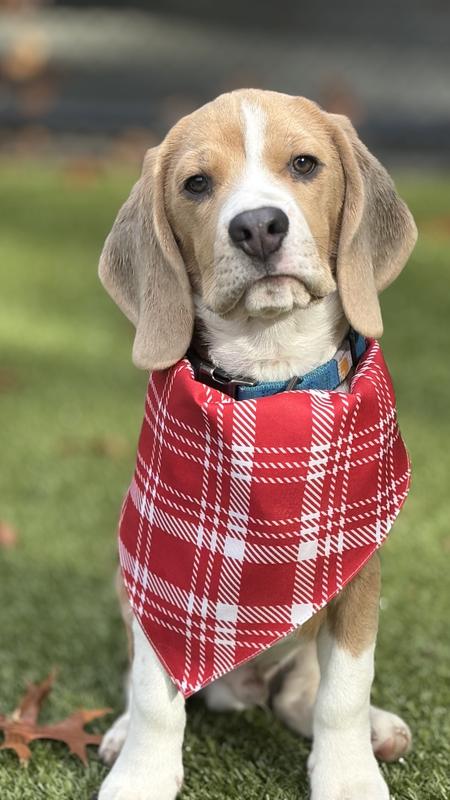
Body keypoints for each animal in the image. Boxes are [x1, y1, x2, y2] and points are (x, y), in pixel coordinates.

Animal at [96, 89, 417, 800]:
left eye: (304, 164)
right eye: (195, 183)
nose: (259, 226)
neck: (271, 377)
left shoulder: (360, 577)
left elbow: (344, 690)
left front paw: (348, 776)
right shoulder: (162, 580)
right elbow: (156, 697)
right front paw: (141, 774)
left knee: (303, 693)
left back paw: (372, 728)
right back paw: (120, 733)